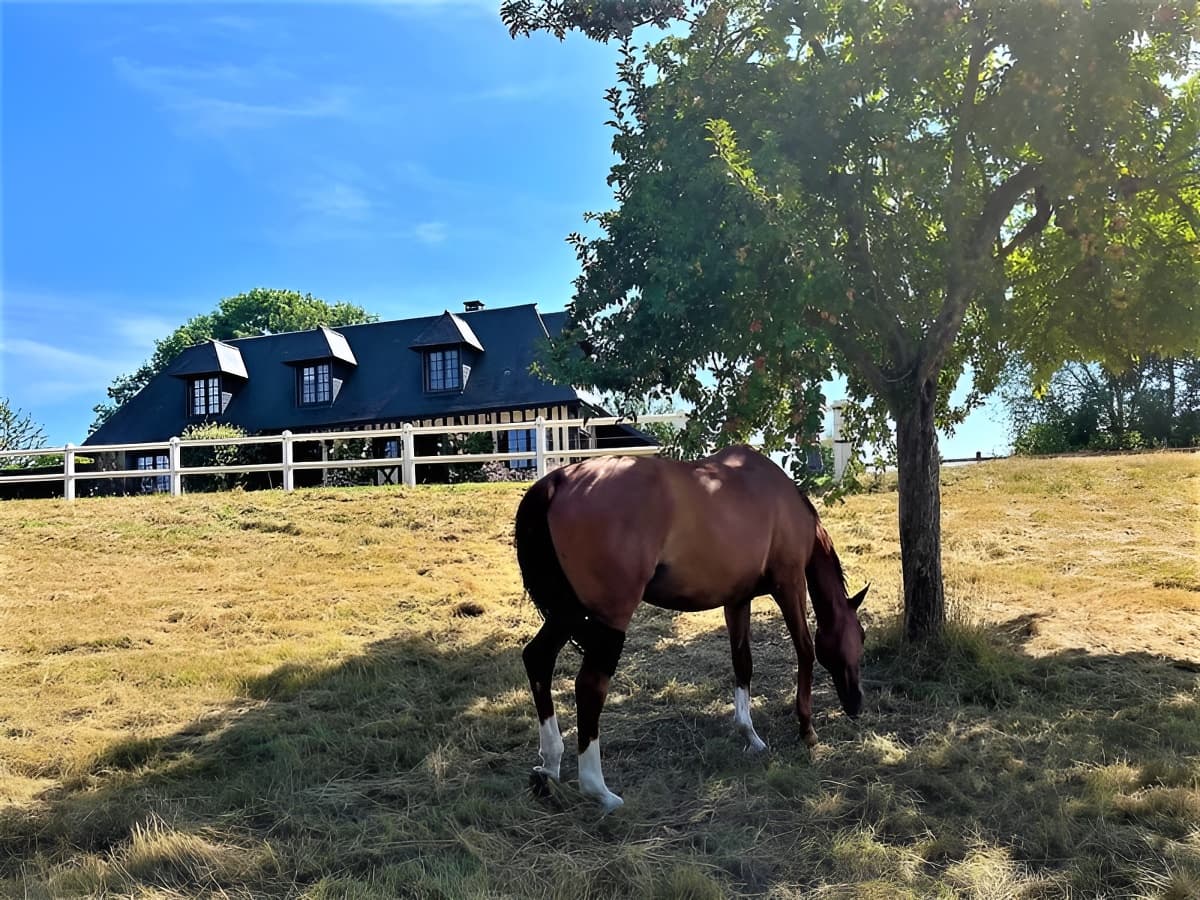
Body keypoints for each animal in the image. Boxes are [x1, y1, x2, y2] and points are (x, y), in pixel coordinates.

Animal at [513, 444, 868, 812]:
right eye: (861, 636)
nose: (856, 703)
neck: (779, 497)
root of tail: (557, 481)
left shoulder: (737, 601)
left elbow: (743, 664)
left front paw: (750, 735)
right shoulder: (790, 584)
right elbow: (805, 651)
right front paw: (807, 729)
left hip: (567, 612)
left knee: (538, 659)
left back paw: (550, 764)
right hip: (608, 616)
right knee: (589, 686)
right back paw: (598, 790)